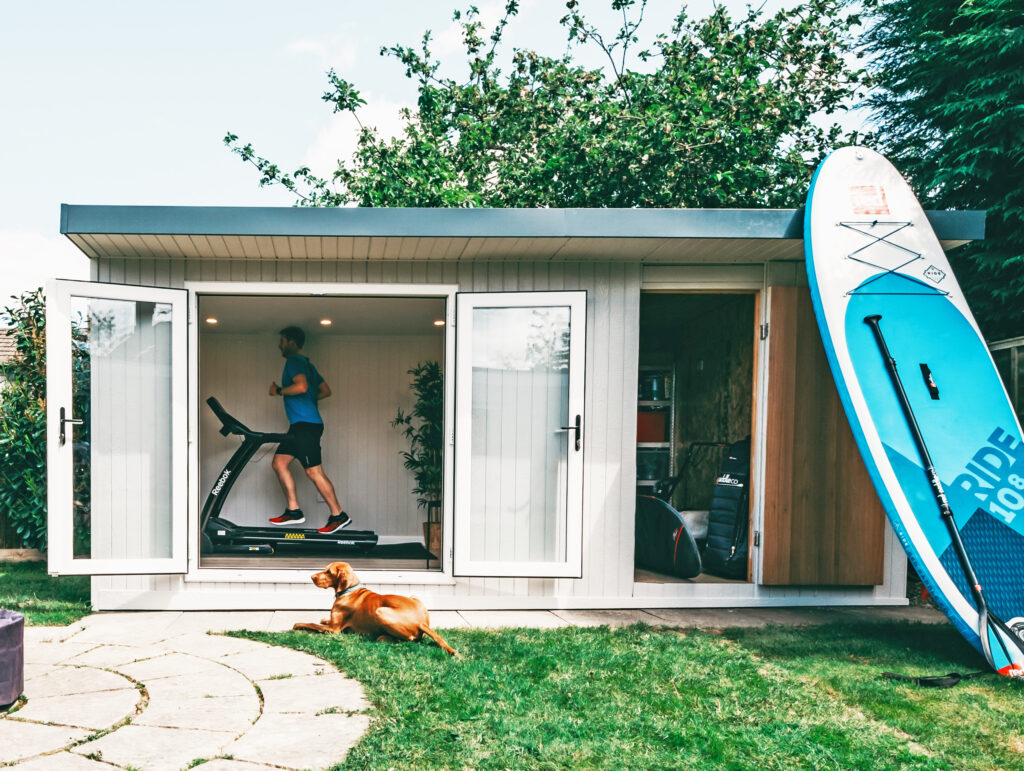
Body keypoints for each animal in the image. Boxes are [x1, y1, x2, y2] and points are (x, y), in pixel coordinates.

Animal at [294, 561, 458, 651]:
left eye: (329, 572)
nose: (311, 577)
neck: (350, 589)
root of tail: (421, 622)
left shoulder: (334, 630)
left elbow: (311, 624)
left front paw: (298, 624)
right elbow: (323, 621)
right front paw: (323, 618)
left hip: (380, 611)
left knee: (410, 639)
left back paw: (382, 637)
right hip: (414, 596)